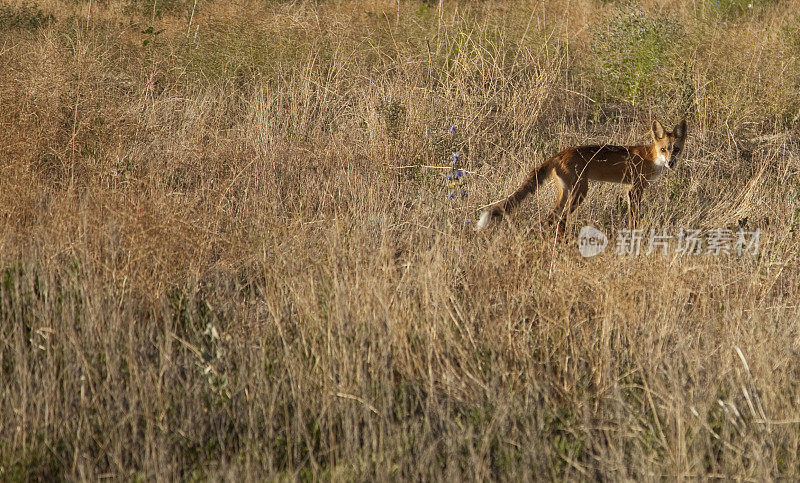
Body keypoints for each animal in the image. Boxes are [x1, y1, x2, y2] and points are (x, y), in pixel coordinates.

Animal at [476, 120, 688, 235]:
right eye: (664, 149)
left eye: (676, 149)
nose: (671, 163)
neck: (651, 158)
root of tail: (559, 154)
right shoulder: (634, 188)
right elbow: (633, 218)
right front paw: (634, 235)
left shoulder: (632, 189)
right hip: (580, 192)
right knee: (560, 220)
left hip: (567, 193)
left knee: (551, 219)